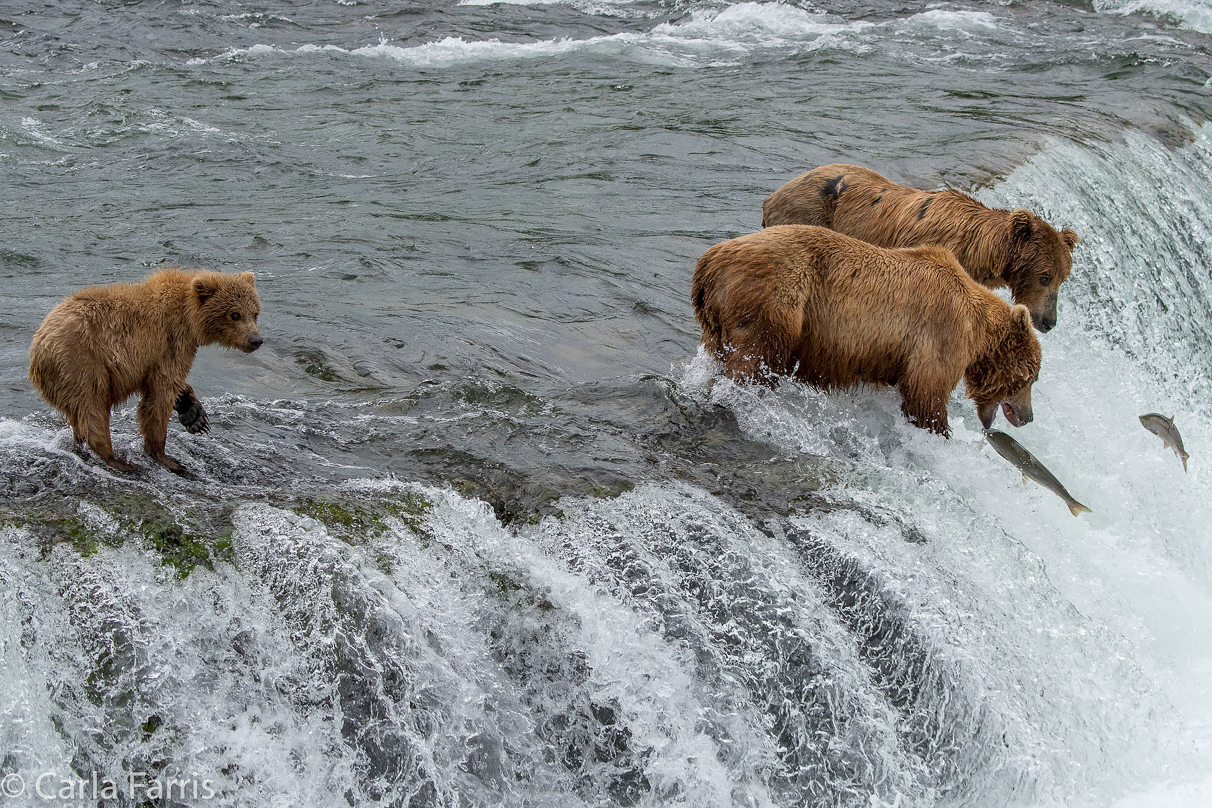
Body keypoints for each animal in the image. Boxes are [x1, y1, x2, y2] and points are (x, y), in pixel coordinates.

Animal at [28, 271, 263, 474]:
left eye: (255, 313)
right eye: (234, 314)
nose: (256, 340)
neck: (188, 316)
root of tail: (38, 349)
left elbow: (169, 384)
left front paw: (194, 415)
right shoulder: (169, 342)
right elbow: (160, 393)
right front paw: (165, 456)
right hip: (82, 364)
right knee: (92, 408)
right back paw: (118, 460)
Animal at [693, 224, 1042, 438]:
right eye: (1030, 378)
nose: (1028, 416)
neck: (977, 329)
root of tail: (710, 260)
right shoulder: (941, 332)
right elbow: (926, 394)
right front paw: (940, 432)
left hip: (716, 325)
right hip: (777, 302)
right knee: (753, 362)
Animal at [761, 163, 1085, 331]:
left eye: (1062, 278)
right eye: (1044, 276)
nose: (1049, 321)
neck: (976, 249)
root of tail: (774, 193)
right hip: (806, 213)